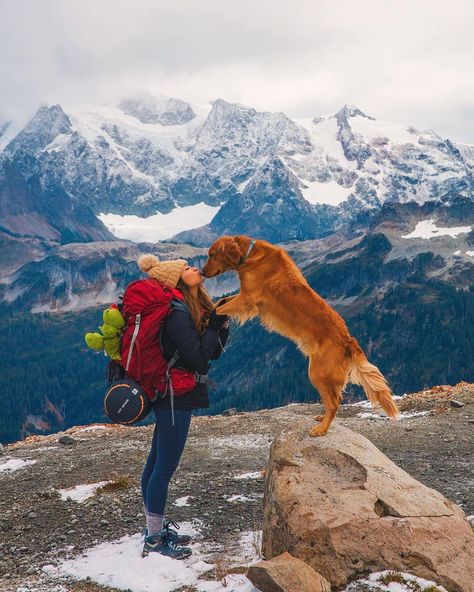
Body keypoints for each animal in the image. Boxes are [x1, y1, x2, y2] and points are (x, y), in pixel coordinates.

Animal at [202, 235, 398, 434]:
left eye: (212, 255)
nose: (201, 273)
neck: (250, 254)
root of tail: (348, 340)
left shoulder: (247, 298)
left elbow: (219, 308)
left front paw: (206, 320)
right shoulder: (242, 297)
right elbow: (220, 301)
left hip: (317, 373)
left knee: (334, 403)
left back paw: (321, 429)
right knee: (334, 400)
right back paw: (322, 419)